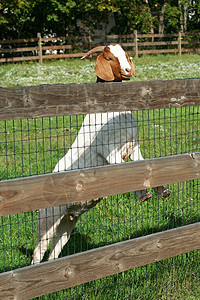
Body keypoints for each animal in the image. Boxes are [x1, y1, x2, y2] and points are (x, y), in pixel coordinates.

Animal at [31, 44, 170, 264]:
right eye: (110, 58)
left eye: (126, 54)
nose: (128, 70)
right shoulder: (108, 150)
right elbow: (127, 169)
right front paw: (143, 194)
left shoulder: (134, 146)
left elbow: (142, 167)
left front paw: (162, 190)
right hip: (48, 216)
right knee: (39, 250)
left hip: (68, 221)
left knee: (56, 249)